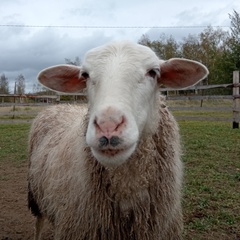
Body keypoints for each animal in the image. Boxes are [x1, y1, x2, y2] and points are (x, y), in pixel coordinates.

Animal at [27, 40, 208, 239]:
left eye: (153, 72)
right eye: (85, 75)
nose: (108, 126)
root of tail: (62, 106)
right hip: (35, 194)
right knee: (39, 223)